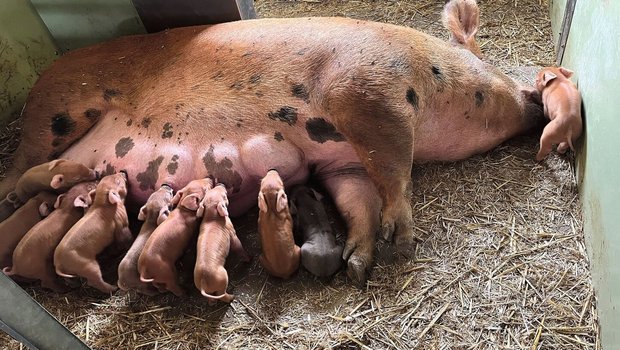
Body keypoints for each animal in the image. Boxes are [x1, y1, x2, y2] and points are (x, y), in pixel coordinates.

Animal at [0, 16, 544, 286]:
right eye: (487, 73)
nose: (536, 98)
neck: (428, 75)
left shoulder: (343, 160)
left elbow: (360, 200)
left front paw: (357, 264)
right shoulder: (369, 96)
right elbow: (394, 174)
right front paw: (404, 242)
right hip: (56, 113)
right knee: (18, 171)